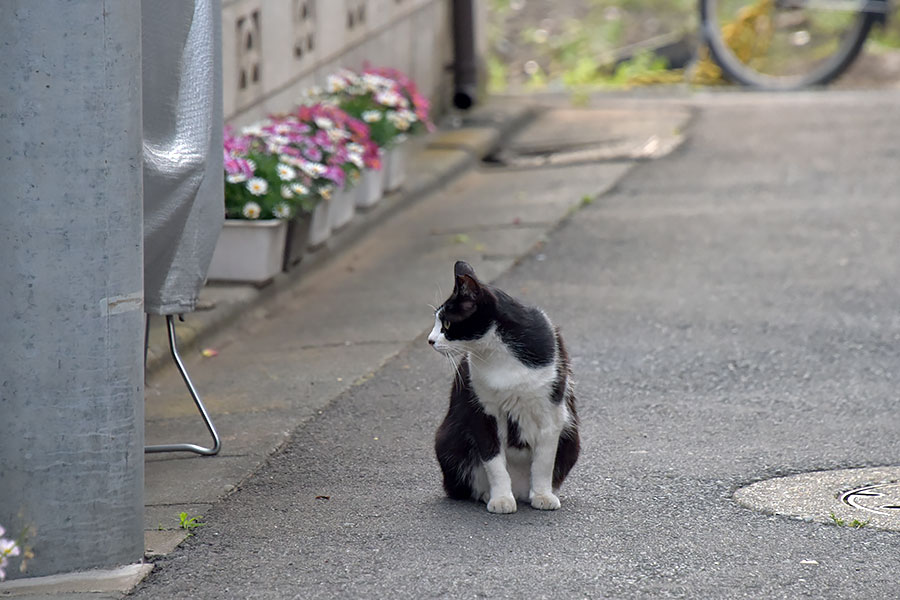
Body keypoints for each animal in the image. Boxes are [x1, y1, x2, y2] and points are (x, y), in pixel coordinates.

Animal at [428, 260, 580, 512]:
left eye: (447, 322)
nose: (430, 340)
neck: (498, 353)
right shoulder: (483, 410)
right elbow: (494, 461)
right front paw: (500, 499)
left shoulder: (550, 412)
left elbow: (544, 461)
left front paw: (543, 495)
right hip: (447, 440)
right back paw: (486, 494)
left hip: (572, 439)